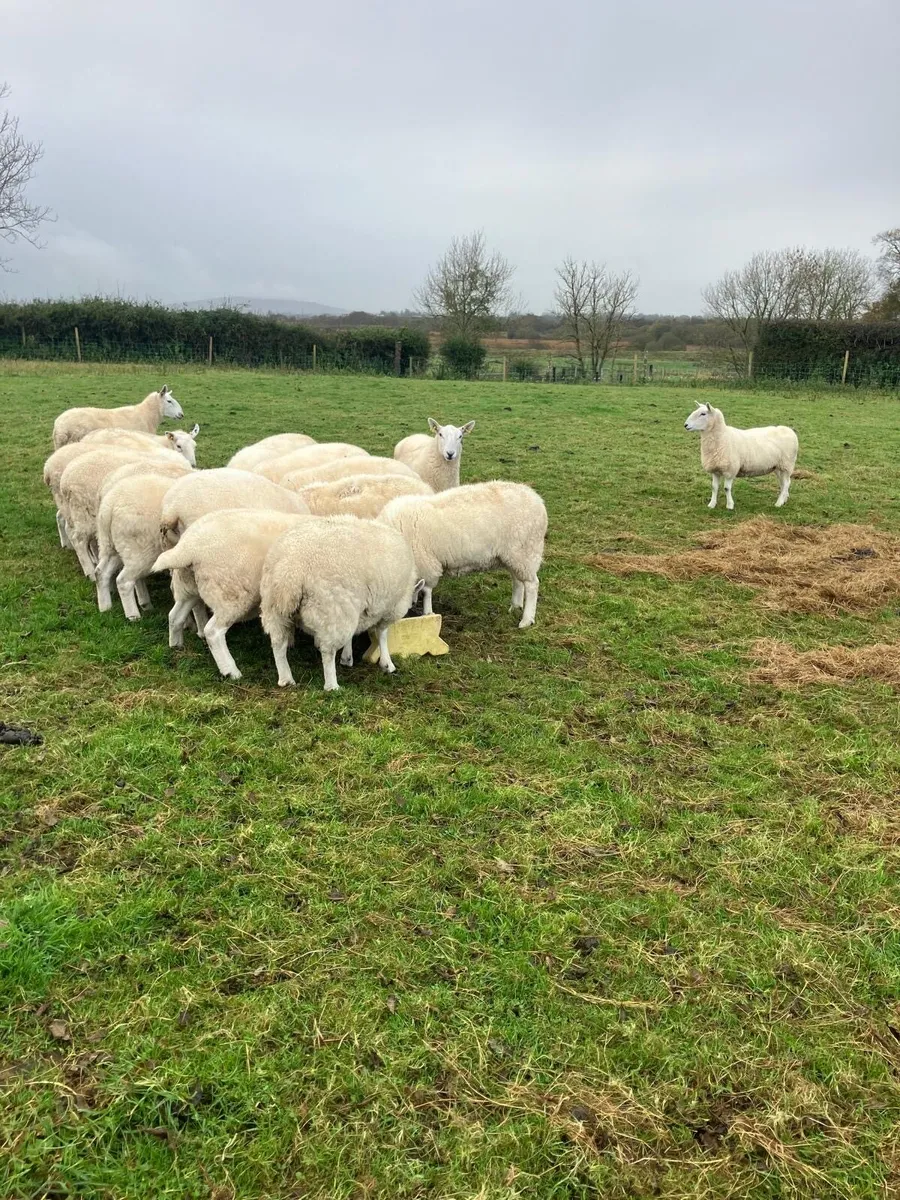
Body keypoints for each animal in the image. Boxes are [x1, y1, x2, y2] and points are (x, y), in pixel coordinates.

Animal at [151, 509, 311, 679]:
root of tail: (189, 547)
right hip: (230, 593)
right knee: (213, 631)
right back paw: (231, 671)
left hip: (188, 587)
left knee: (175, 616)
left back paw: (176, 645)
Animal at [260, 516, 420, 691]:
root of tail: (290, 572)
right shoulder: (390, 607)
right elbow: (382, 634)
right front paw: (387, 663)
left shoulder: (355, 606)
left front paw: (347, 657)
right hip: (331, 608)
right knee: (328, 651)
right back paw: (332, 686)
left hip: (275, 609)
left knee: (278, 644)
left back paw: (286, 679)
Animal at [379, 481, 547, 627]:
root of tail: (537, 499)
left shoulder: (426, 562)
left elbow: (426, 590)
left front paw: (427, 612)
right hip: (512, 554)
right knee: (517, 580)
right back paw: (515, 607)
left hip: (526, 550)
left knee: (532, 584)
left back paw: (526, 620)